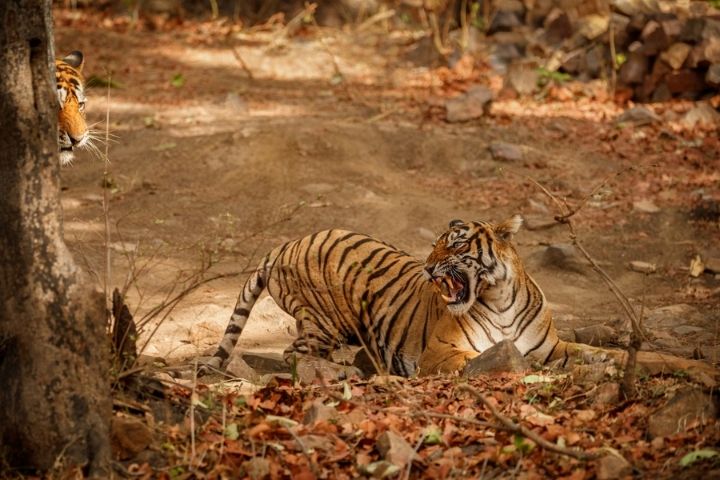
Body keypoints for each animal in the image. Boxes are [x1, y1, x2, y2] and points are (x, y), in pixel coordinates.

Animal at [205, 216, 719, 381]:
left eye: (453, 245)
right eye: (433, 246)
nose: (428, 266)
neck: (501, 298)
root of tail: (285, 244)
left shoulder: (557, 348)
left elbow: (630, 356)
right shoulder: (441, 351)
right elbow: (485, 361)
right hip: (324, 320)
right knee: (294, 355)